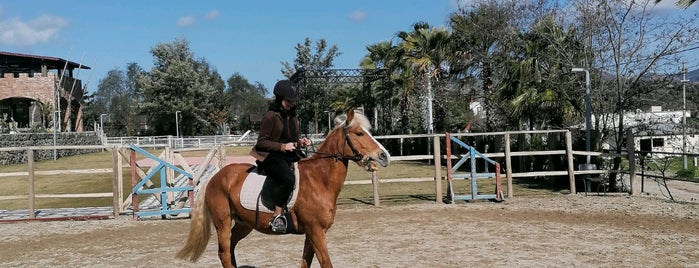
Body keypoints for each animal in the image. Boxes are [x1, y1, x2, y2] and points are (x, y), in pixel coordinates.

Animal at [175, 108, 392, 266]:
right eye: (359, 133)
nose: (385, 156)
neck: (319, 179)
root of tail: (215, 178)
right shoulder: (316, 231)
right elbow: (326, 263)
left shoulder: (312, 234)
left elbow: (305, 263)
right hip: (223, 223)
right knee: (224, 253)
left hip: (244, 224)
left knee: (231, 249)